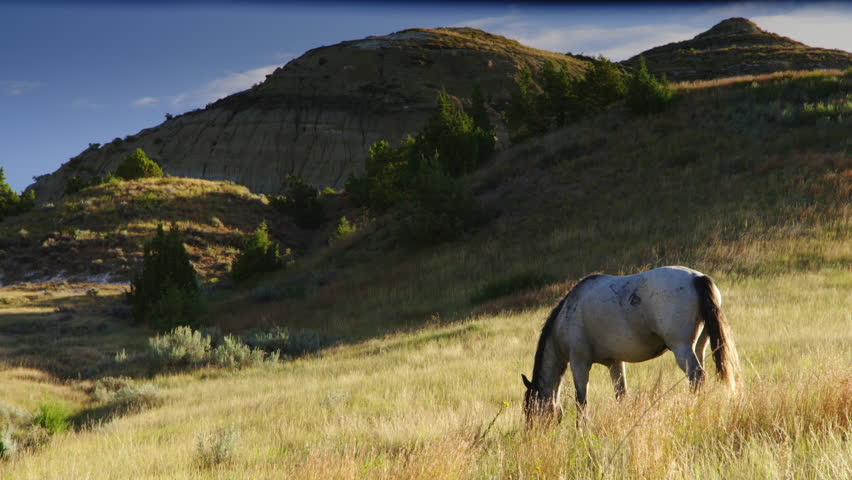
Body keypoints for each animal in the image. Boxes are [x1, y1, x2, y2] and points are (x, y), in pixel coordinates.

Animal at [521, 266, 740, 424]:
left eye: (530, 409)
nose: (532, 435)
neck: (566, 318)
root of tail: (697, 278)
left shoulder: (579, 363)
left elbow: (581, 401)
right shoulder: (615, 362)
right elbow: (621, 395)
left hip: (682, 348)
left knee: (696, 378)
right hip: (699, 346)